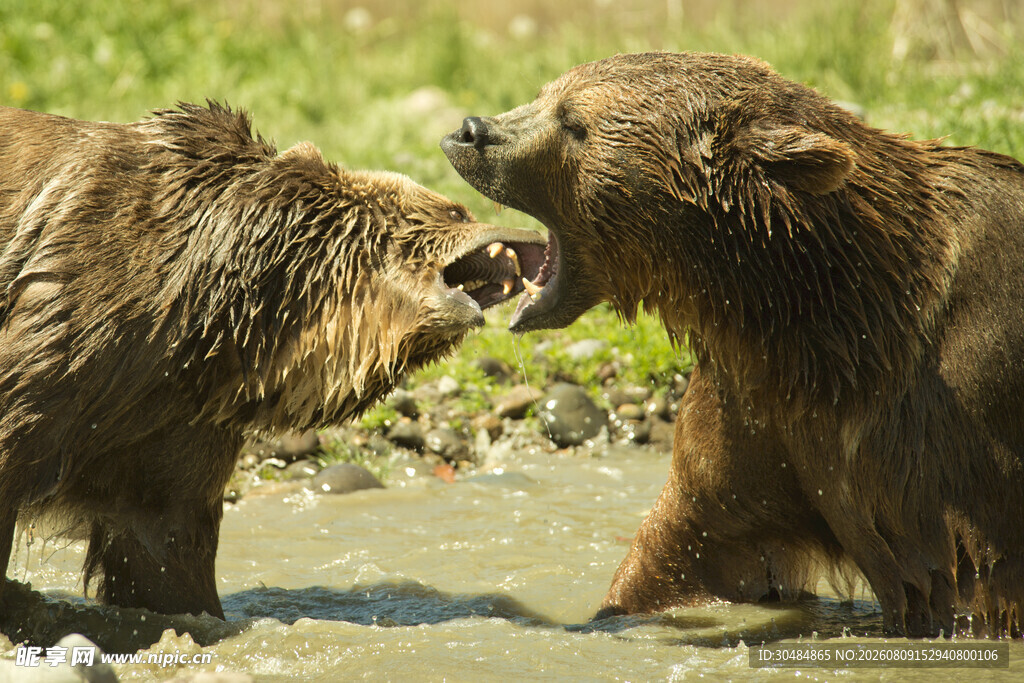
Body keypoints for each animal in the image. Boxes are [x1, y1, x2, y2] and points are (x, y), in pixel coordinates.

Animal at [442, 52, 1024, 637]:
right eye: (547, 94)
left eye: (573, 121)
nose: (470, 131)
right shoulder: (758, 409)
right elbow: (690, 538)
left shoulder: (945, 434)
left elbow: (963, 578)